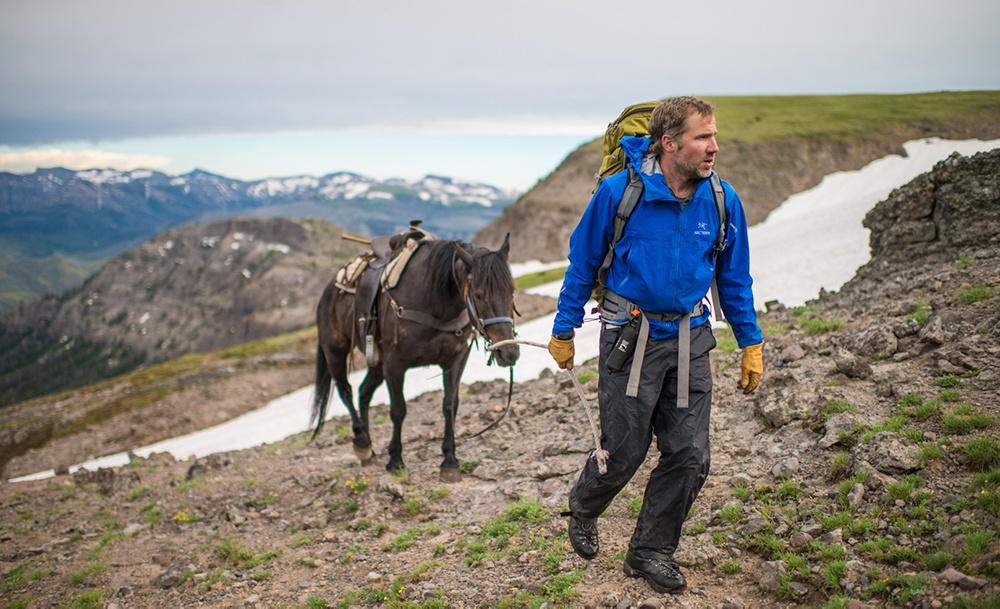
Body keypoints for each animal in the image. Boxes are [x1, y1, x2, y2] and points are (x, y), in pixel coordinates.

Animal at [310, 232, 520, 480]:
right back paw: (362, 442)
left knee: (364, 392)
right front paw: (395, 460)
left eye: (512, 291)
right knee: (346, 391)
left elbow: (450, 404)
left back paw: (370, 450)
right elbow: (398, 410)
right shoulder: (395, 365)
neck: (433, 302)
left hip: (377, 363)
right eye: (479, 295)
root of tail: (327, 292)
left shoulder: (455, 360)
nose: (509, 353)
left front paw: (449, 460)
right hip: (335, 352)